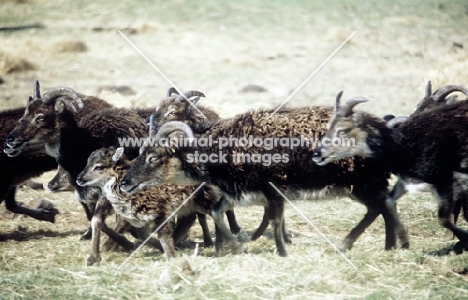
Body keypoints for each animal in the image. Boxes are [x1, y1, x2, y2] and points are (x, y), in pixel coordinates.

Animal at [75, 146, 243, 258]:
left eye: (99, 166)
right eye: (87, 162)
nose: (79, 179)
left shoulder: (161, 209)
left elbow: (162, 236)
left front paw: (171, 256)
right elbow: (138, 233)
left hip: (204, 197)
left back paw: (220, 247)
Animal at [120, 105, 410, 255]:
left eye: (154, 157)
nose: (124, 182)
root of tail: (385, 132)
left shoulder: (273, 189)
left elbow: (274, 220)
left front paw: (282, 251)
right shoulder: (240, 191)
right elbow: (217, 212)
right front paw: (237, 247)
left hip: (363, 183)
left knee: (380, 207)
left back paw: (352, 244)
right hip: (364, 184)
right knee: (383, 206)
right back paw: (390, 245)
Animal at [312, 91, 468, 253]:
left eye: (343, 130)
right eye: (328, 127)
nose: (317, 154)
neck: (405, 145)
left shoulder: (445, 180)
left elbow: (444, 218)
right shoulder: (408, 182)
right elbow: (388, 202)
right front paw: (400, 243)